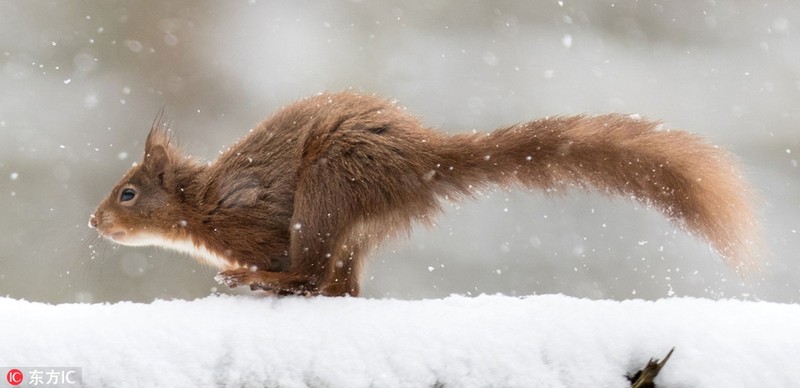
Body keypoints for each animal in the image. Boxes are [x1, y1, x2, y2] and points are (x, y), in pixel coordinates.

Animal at [90, 91, 760, 298]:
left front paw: (249, 270)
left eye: (128, 194)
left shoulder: (257, 220)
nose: (94, 222)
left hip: (328, 193)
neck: (199, 203)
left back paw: (256, 279)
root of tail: (422, 160)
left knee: (314, 273)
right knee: (340, 284)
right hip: (353, 221)